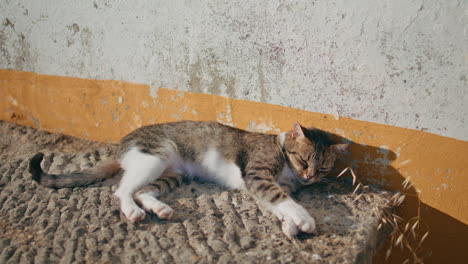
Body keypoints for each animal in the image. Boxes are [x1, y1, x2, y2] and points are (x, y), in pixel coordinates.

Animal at [29, 120, 350, 236]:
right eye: (304, 160)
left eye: (323, 169)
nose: (309, 177)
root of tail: (122, 145)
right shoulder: (258, 176)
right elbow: (281, 199)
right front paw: (303, 219)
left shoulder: (268, 186)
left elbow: (279, 203)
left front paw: (290, 224)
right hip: (154, 157)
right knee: (122, 190)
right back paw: (133, 211)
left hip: (173, 175)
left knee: (143, 191)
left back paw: (159, 208)